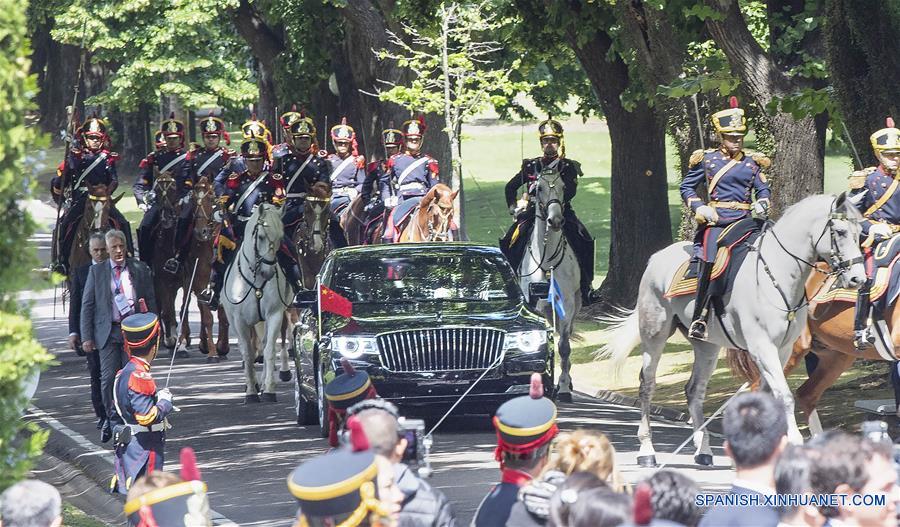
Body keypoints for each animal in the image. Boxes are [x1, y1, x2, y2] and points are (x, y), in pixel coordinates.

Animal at [177, 177, 229, 364]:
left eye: (211, 197)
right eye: (193, 199)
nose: (201, 231)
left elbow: (222, 315)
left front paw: (222, 347)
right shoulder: (199, 283)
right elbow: (208, 319)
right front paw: (213, 352)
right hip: (187, 280)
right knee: (185, 306)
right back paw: (183, 345)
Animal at [223, 202, 294, 404]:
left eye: (280, 238)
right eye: (261, 236)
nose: (268, 273)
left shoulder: (275, 314)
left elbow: (269, 349)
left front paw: (269, 389)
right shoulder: (239, 320)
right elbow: (247, 352)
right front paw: (251, 393)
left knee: (265, 343)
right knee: (245, 347)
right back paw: (253, 384)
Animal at [516, 168, 580, 400]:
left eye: (563, 186)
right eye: (539, 188)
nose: (556, 221)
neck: (547, 262)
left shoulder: (567, 305)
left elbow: (564, 346)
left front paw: (563, 387)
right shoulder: (537, 306)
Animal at [600, 194, 868, 466]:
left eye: (860, 233)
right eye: (840, 231)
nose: (858, 279)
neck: (778, 275)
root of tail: (657, 257)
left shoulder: (782, 350)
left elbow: (767, 396)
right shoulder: (763, 347)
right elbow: (784, 395)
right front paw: (792, 443)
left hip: (706, 345)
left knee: (694, 390)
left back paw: (703, 449)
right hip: (654, 333)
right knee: (647, 385)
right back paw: (647, 450)